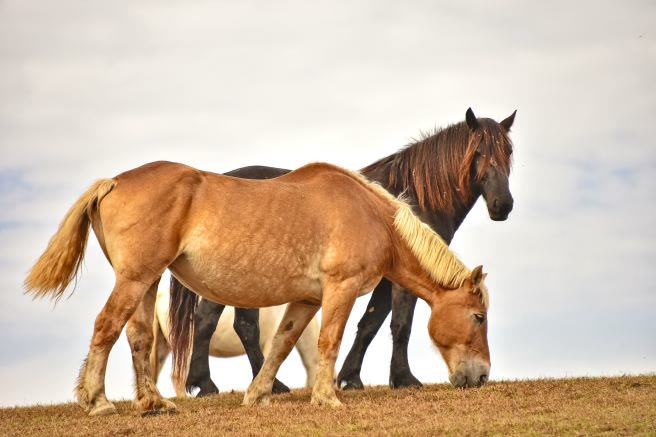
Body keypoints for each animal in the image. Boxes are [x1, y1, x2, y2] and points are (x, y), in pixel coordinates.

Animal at [180, 107, 516, 395]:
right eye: (477, 152)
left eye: (508, 152)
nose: (503, 205)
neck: (413, 198)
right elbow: (401, 325)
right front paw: (404, 378)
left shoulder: (387, 276)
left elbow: (370, 323)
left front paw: (350, 377)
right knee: (230, 323)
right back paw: (226, 385)